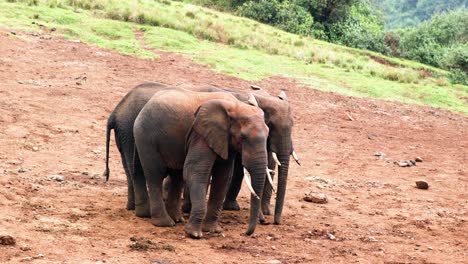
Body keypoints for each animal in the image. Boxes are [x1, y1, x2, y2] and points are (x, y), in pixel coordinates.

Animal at [133, 88, 268, 237]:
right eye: (243, 137)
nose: (245, 233)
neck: (237, 106)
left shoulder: (223, 139)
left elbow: (223, 176)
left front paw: (212, 230)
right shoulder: (200, 134)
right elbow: (196, 171)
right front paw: (194, 234)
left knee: (177, 176)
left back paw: (177, 219)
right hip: (146, 138)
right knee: (155, 174)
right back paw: (165, 223)